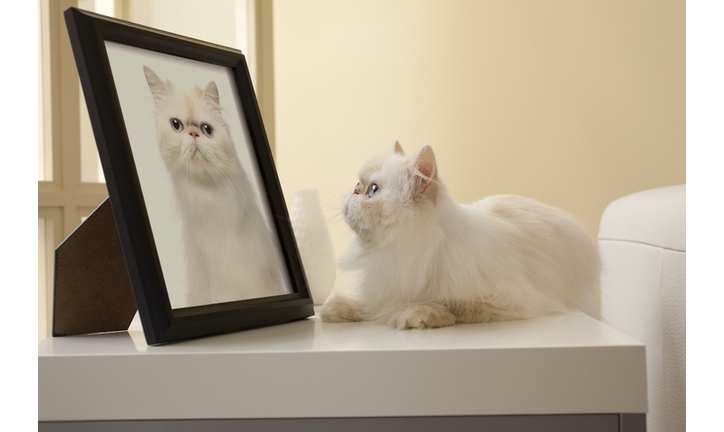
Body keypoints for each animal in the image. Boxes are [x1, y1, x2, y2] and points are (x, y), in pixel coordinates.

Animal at [320, 143, 600, 330]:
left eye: (373, 190)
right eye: (358, 183)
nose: (354, 190)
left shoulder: (511, 300)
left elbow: (451, 303)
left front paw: (413, 314)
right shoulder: (383, 284)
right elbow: (370, 303)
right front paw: (338, 309)